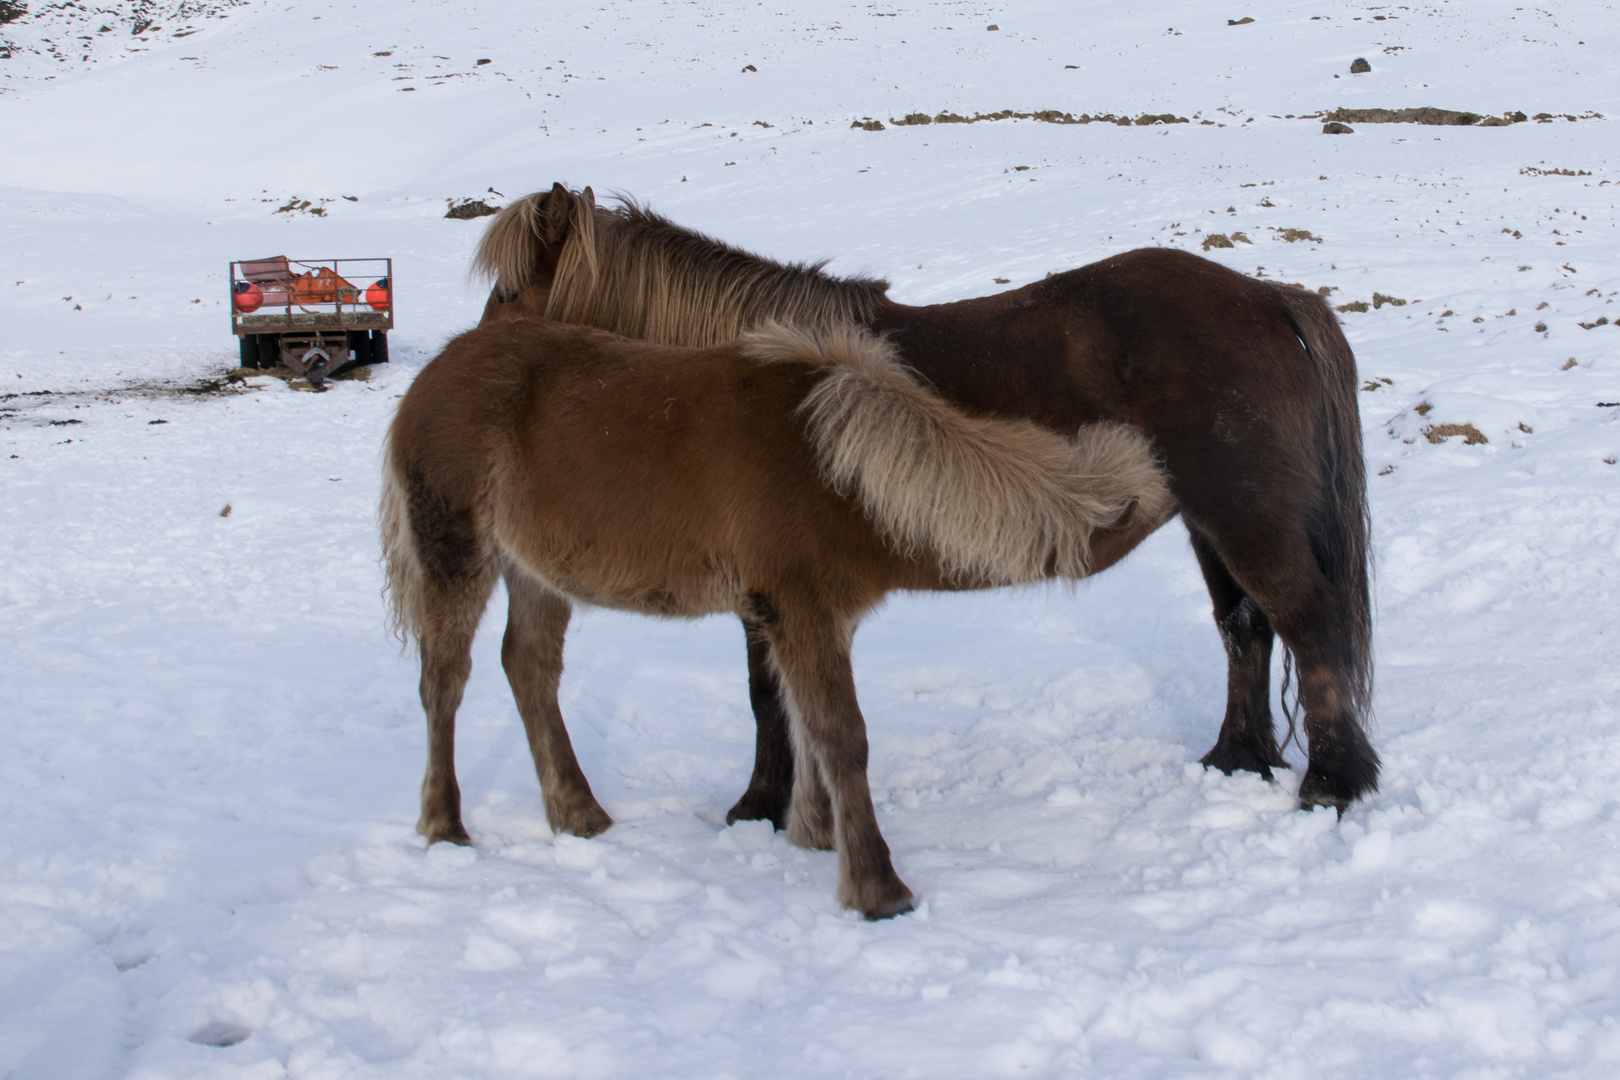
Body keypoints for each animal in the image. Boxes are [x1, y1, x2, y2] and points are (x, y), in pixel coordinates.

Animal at [379, 317, 1166, 919]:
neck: (839, 474)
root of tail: (435, 375)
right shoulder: (802, 613)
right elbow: (843, 736)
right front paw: (876, 887)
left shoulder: (815, 620)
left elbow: (804, 726)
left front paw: (813, 835)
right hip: (458, 557)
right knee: (444, 683)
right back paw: (445, 827)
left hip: (536, 573)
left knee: (529, 669)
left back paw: (579, 816)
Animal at [473, 187, 1380, 829]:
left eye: (513, 291)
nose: (471, 363)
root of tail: (1269, 298)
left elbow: (767, 695)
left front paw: (758, 807)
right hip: (1209, 523)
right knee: (1246, 628)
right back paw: (1235, 759)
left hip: (1246, 514)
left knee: (1307, 622)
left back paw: (1331, 785)